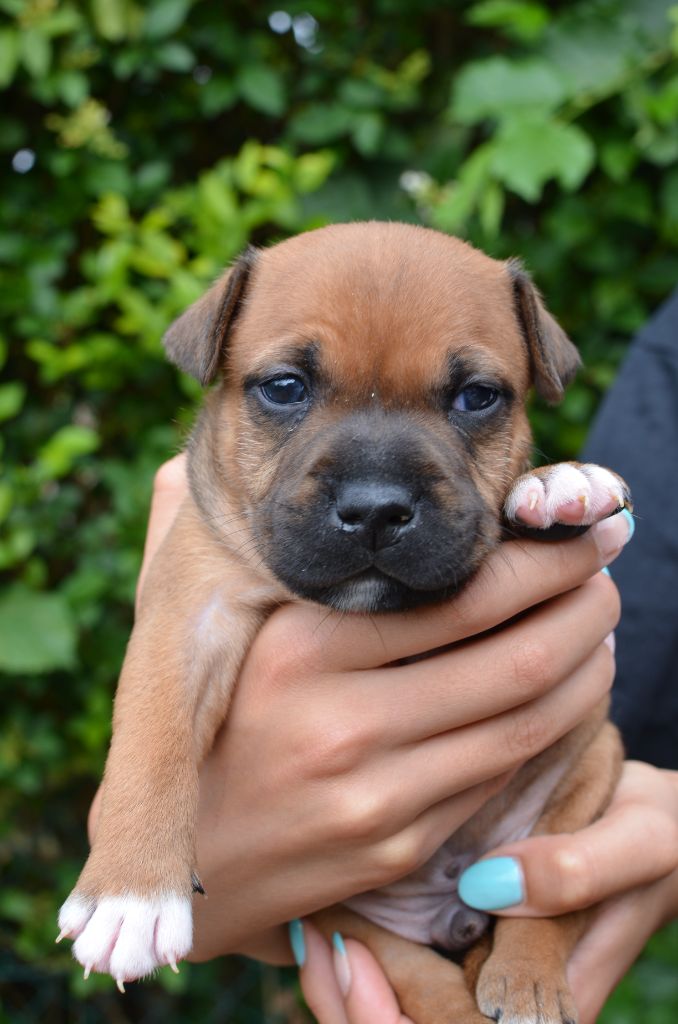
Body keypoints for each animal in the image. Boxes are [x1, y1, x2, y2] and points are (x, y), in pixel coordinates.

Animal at [58, 222, 630, 1022]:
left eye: (477, 397)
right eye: (285, 388)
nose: (376, 507)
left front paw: (552, 485)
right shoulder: (185, 615)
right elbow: (152, 738)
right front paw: (129, 897)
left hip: (593, 762)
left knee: (542, 905)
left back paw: (529, 979)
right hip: (340, 917)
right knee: (416, 973)